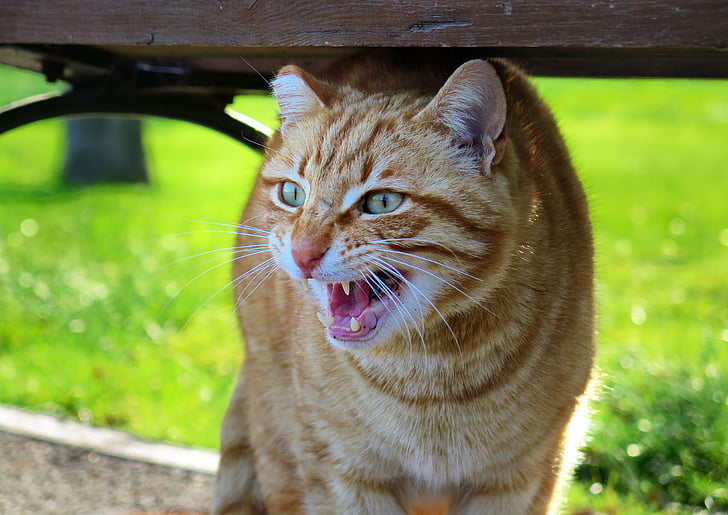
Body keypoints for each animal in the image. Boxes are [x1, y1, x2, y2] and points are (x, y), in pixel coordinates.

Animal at [213, 51, 596, 515]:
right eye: (292, 194)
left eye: (382, 202)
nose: (303, 252)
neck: (429, 379)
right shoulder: (341, 477)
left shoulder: (522, 478)